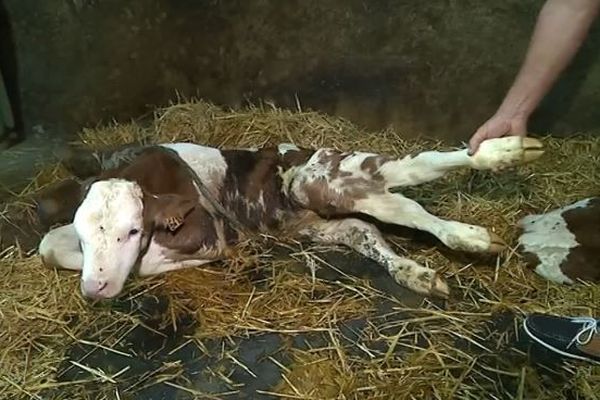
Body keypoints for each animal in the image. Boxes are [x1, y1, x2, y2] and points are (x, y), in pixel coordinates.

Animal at [37, 138, 544, 300]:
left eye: (133, 231)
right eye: (84, 236)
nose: (95, 289)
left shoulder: (211, 231)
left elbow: (148, 263)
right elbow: (47, 248)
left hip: (323, 176)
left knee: (411, 169)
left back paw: (493, 168)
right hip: (324, 213)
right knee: (375, 224)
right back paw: (419, 272)